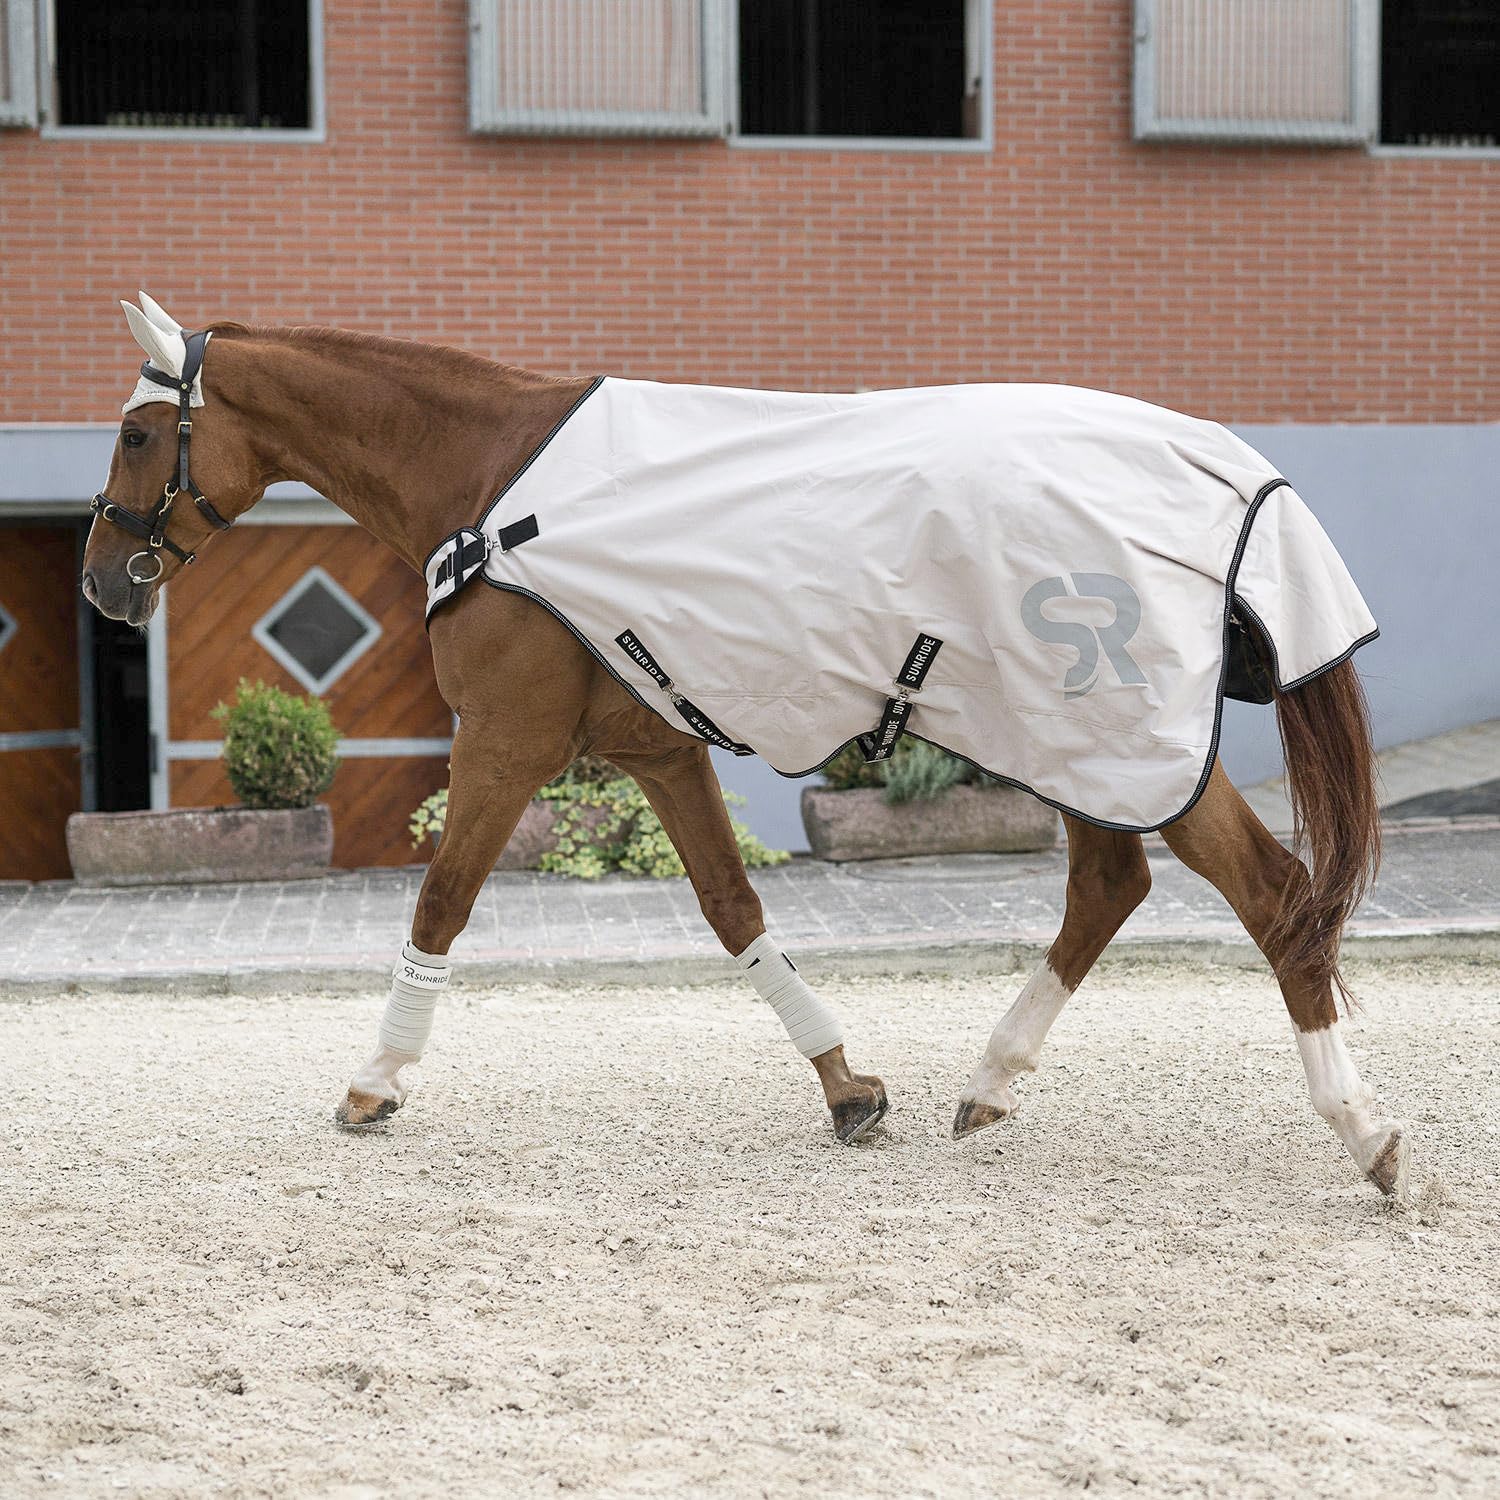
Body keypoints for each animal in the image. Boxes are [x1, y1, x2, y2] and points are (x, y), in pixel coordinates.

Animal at [80, 296, 1407, 1196]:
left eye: (139, 436)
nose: (100, 582)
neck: (492, 484)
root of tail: (1216, 466)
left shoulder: (505, 741)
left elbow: (441, 903)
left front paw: (374, 1083)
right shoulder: (657, 749)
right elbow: (732, 910)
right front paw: (850, 1088)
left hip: (1113, 739)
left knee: (1273, 894)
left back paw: (1363, 1131)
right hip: (1078, 749)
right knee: (1112, 884)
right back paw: (988, 1084)